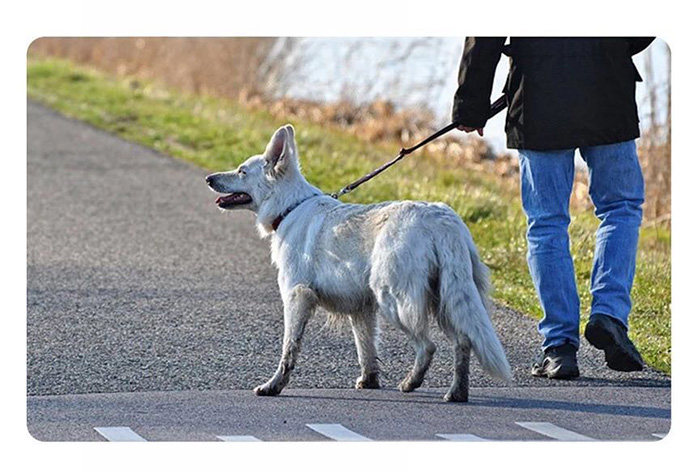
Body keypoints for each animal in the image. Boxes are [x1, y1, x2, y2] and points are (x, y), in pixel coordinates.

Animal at [205, 123, 512, 400]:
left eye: (242, 171)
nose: (208, 178)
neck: (290, 207)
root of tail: (442, 220)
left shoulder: (296, 297)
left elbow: (289, 349)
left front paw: (274, 386)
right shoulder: (361, 308)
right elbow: (366, 349)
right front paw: (369, 381)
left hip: (395, 300)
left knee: (428, 346)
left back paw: (411, 382)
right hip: (446, 299)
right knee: (463, 341)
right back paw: (456, 392)